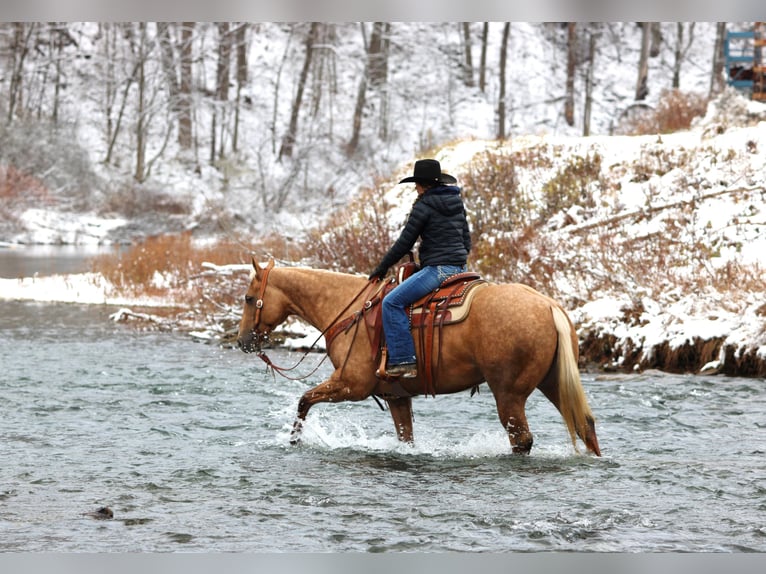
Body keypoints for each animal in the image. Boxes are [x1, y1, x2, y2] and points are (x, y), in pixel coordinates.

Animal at [237, 259, 601, 456]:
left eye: (249, 298)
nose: (242, 341)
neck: (349, 309)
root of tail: (548, 305)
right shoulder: (396, 397)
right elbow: (405, 438)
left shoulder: (351, 385)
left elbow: (304, 401)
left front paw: (295, 441)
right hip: (551, 382)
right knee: (585, 426)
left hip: (509, 394)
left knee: (521, 439)